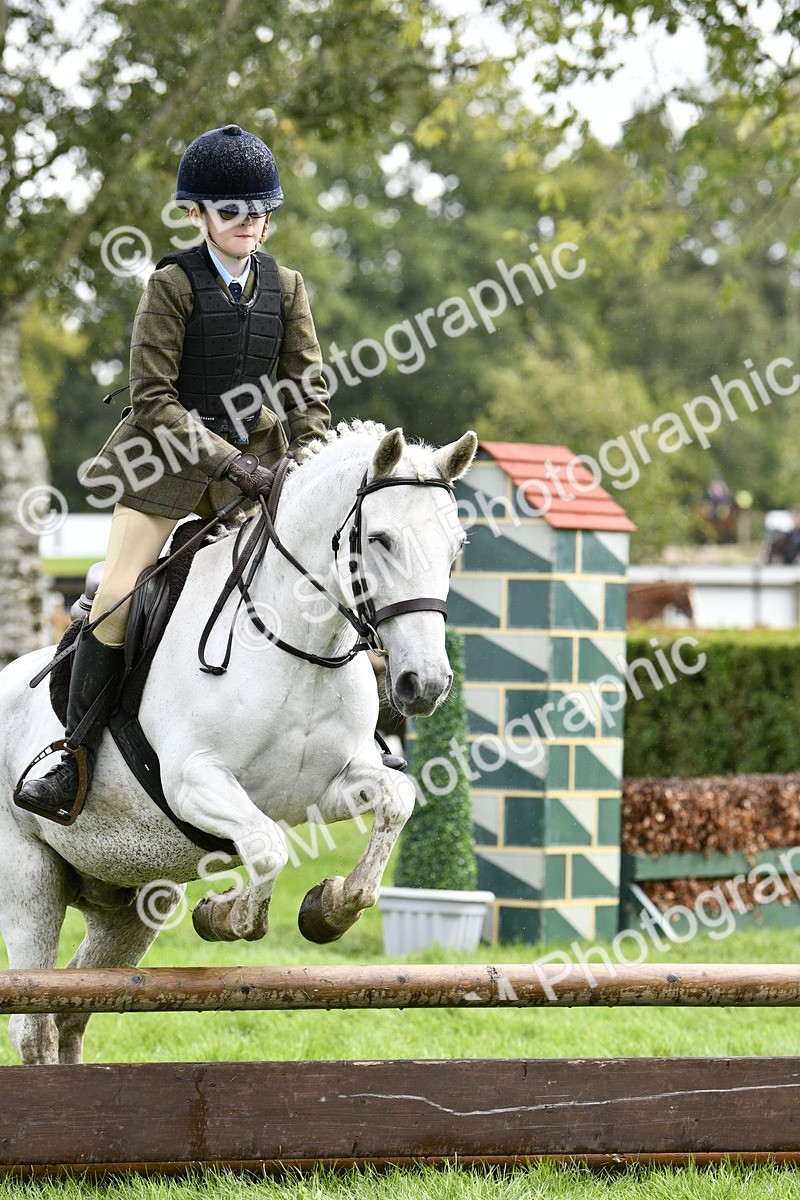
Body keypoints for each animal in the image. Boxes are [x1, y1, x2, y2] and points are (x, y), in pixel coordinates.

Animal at [0, 422, 477, 1065]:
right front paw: (224, 916)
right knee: (34, 1025)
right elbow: (267, 847)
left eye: (456, 547)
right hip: (30, 882)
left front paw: (329, 909)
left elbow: (395, 800)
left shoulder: (325, 791)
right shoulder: (193, 783)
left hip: (129, 902)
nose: (423, 684)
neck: (299, 645)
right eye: (380, 539)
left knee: (70, 1009)